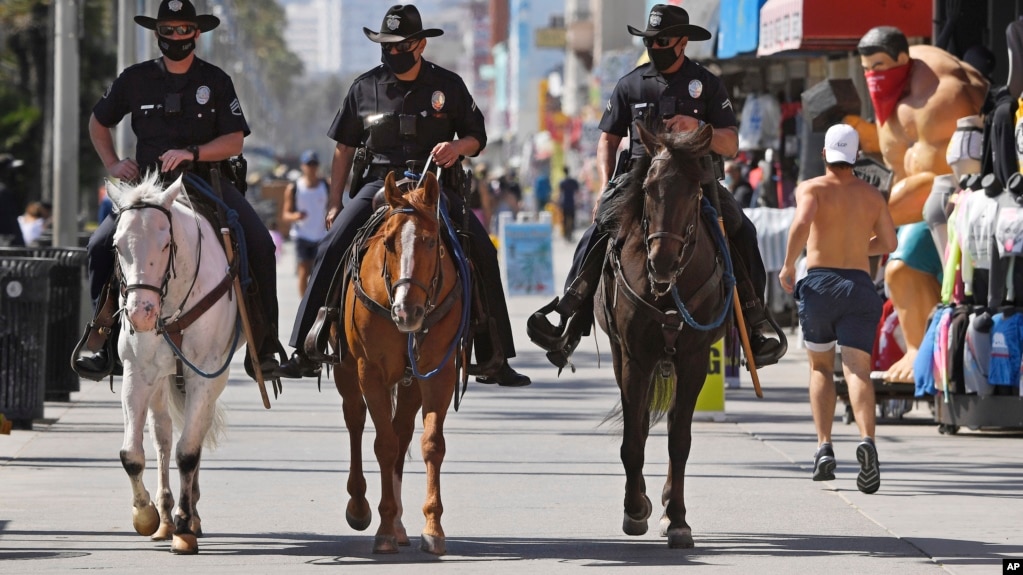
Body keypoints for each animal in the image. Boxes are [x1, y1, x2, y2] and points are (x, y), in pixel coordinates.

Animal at [333, 170, 462, 556]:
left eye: (431, 241)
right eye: (389, 243)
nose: (407, 311)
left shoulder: (438, 372)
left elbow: (430, 444)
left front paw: (432, 526)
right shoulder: (369, 371)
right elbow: (383, 444)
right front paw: (384, 527)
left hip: (411, 383)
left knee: (402, 430)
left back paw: (402, 523)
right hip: (347, 372)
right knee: (356, 421)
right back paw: (360, 506)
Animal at [597, 121, 732, 544]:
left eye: (694, 191)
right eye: (648, 188)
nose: (662, 261)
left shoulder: (693, 360)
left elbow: (679, 439)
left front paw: (677, 518)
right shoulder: (635, 358)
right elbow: (633, 438)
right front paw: (634, 508)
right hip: (622, 356)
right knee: (639, 424)